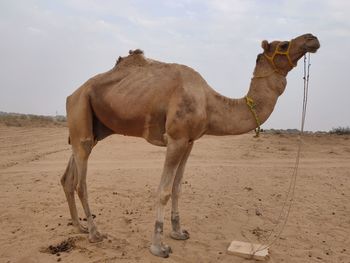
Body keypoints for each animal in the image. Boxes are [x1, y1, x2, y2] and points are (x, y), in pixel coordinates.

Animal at [60, 33, 320, 258]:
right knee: (81, 182)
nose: (312, 39)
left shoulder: (190, 141)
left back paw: (79, 227)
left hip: (92, 127)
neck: (209, 102)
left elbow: (177, 188)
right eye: (284, 44)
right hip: (80, 110)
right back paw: (94, 233)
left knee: (68, 177)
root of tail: (70, 95)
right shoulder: (176, 138)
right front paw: (158, 246)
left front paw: (178, 232)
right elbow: (164, 191)